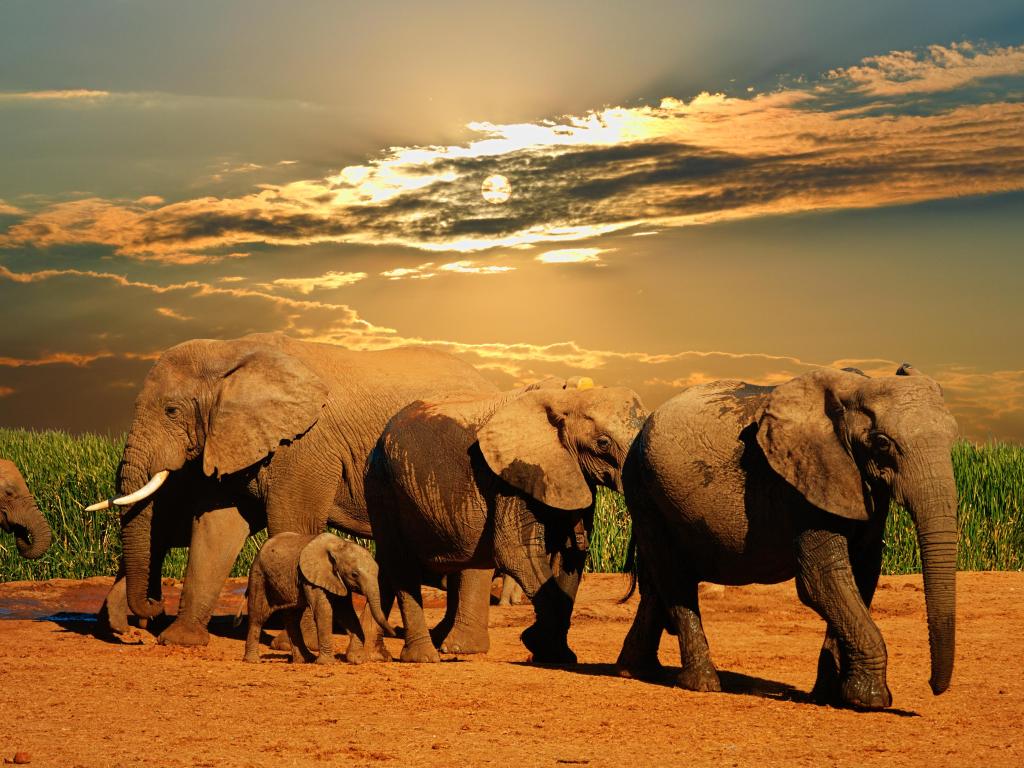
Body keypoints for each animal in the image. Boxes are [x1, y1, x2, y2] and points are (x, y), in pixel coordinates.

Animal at [243, 532, 395, 663]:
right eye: (354, 574)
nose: (393, 633)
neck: (339, 546)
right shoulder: (311, 577)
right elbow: (324, 610)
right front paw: (327, 663)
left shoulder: (337, 580)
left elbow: (346, 613)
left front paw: (356, 659)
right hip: (258, 576)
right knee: (258, 616)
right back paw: (253, 660)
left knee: (292, 618)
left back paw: (305, 659)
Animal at [364, 387, 643, 663]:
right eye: (603, 443)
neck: (569, 398)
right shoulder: (510, 478)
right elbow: (515, 552)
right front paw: (537, 643)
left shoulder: (572, 476)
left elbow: (571, 555)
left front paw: (555, 653)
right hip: (381, 484)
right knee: (401, 564)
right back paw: (423, 658)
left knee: (391, 565)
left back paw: (376, 654)